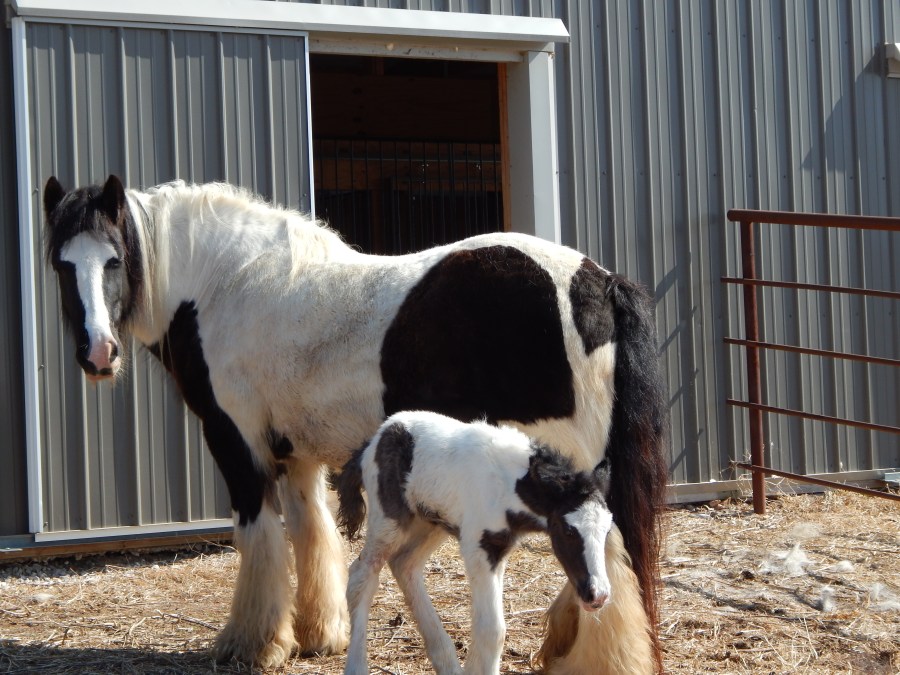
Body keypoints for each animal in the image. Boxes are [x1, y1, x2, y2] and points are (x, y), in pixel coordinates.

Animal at [335, 410, 615, 675]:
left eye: (606, 530)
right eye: (568, 531)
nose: (597, 595)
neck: (509, 484)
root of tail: (376, 438)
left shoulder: (499, 547)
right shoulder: (479, 547)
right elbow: (491, 629)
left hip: (431, 523)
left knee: (404, 564)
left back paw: (448, 664)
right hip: (389, 520)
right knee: (363, 574)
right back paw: (356, 666)